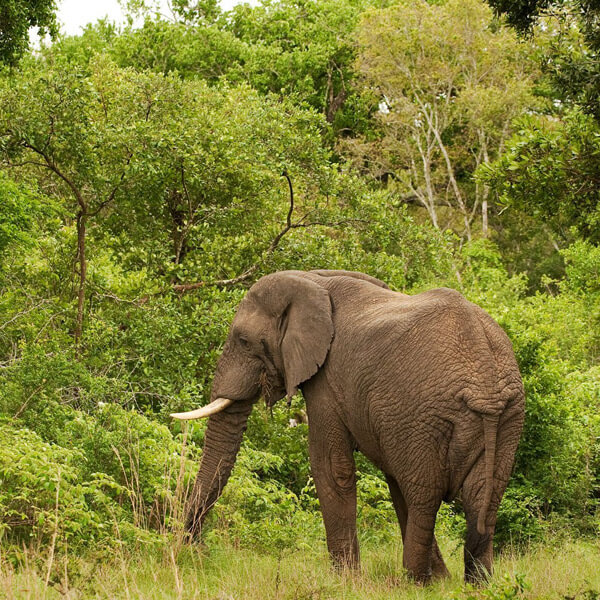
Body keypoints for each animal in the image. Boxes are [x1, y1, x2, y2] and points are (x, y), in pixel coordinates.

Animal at [171, 270, 524, 584]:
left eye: (243, 341)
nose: (193, 548)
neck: (312, 279)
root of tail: (485, 372)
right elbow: (388, 477)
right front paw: (438, 579)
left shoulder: (326, 380)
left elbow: (330, 466)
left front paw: (344, 580)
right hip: (505, 417)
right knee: (482, 496)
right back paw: (475, 583)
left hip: (425, 415)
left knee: (424, 494)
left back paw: (412, 581)